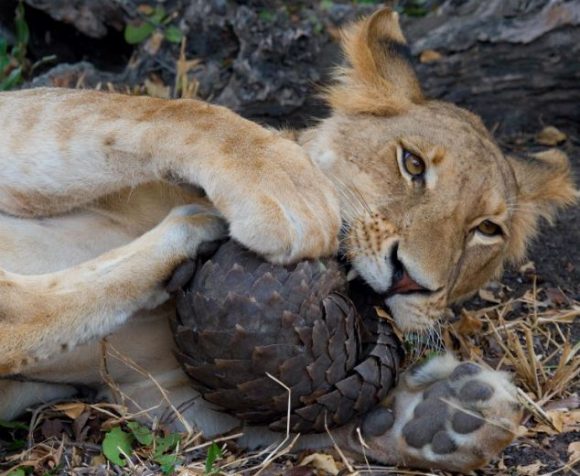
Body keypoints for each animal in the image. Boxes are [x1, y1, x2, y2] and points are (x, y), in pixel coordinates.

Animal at [0, 7, 572, 472]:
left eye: (486, 230)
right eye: (411, 163)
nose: (410, 282)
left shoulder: (158, 393)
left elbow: (290, 415)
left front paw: (444, 415)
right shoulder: (19, 113)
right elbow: (164, 111)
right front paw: (284, 183)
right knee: (18, 310)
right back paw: (194, 232)